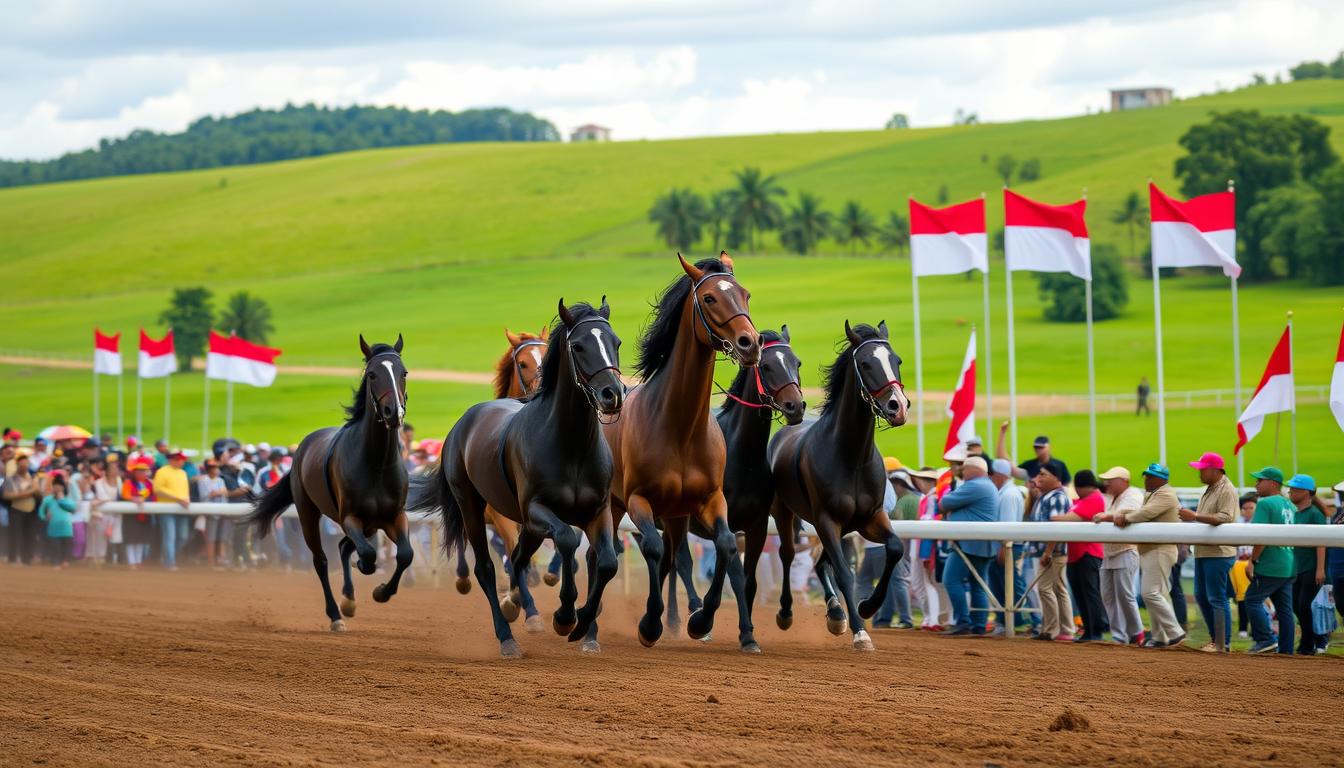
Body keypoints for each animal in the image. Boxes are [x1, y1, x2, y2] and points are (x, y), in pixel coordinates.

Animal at [244, 334, 405, 632]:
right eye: (373, 374)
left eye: (404, 373)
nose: (393, 413)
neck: (375, 463)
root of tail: (303, 445)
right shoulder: (350, 516)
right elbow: (367, 555)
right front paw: (362, 574)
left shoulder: (394, 516)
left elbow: (405, 554)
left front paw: (381, 592)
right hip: (307, 511)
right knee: (321, 559)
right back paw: (336, 614)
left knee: (343, 547)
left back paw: (348, 600)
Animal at [405, 297, 626, 659]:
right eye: (579, 346)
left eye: (615, 342)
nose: (613, 394)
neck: (572, 444)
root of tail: (463, 422)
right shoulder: (534, 510)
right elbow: (566, 540)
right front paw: (564, 616)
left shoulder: (598, 509)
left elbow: (605, 562)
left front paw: (583, 626)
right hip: (470, 505)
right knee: (487, 566)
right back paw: (506, 635)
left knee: (520, 558)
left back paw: (515, 604)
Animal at [591, 255, 768, 650]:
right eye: (710, 298)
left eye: (746, 293)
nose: (750, 343)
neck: (680, 428)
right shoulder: (639, 500)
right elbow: (654, 550)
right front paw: (649, 624)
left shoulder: (710, 500)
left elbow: (727, 545)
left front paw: (701, 620)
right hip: (613, 505)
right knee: (602, 553)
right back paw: (587, 625)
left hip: (675, 515)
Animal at [663, 325, 801, 656]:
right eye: (767, 366)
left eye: (797, 363)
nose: (796, 406)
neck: (743, 457)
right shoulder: (718, 519)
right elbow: (731, 571)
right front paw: (703, 621)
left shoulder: (755, 526)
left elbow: (747, 579)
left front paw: (747, 633)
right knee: (679, 562)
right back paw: (685, 614)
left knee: (672, 562)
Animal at [768, 321, 913, 650]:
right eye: (866, 364)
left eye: (896, 360)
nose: (897, 407)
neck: (851, 456)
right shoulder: (827, 519)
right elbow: (846, 573)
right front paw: (861, 632)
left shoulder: (870, 517)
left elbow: (895, 548)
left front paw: (868, 606)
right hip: (786, 512)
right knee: (789, 554)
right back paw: (788, 612)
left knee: (821, 563)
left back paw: (835, 612)